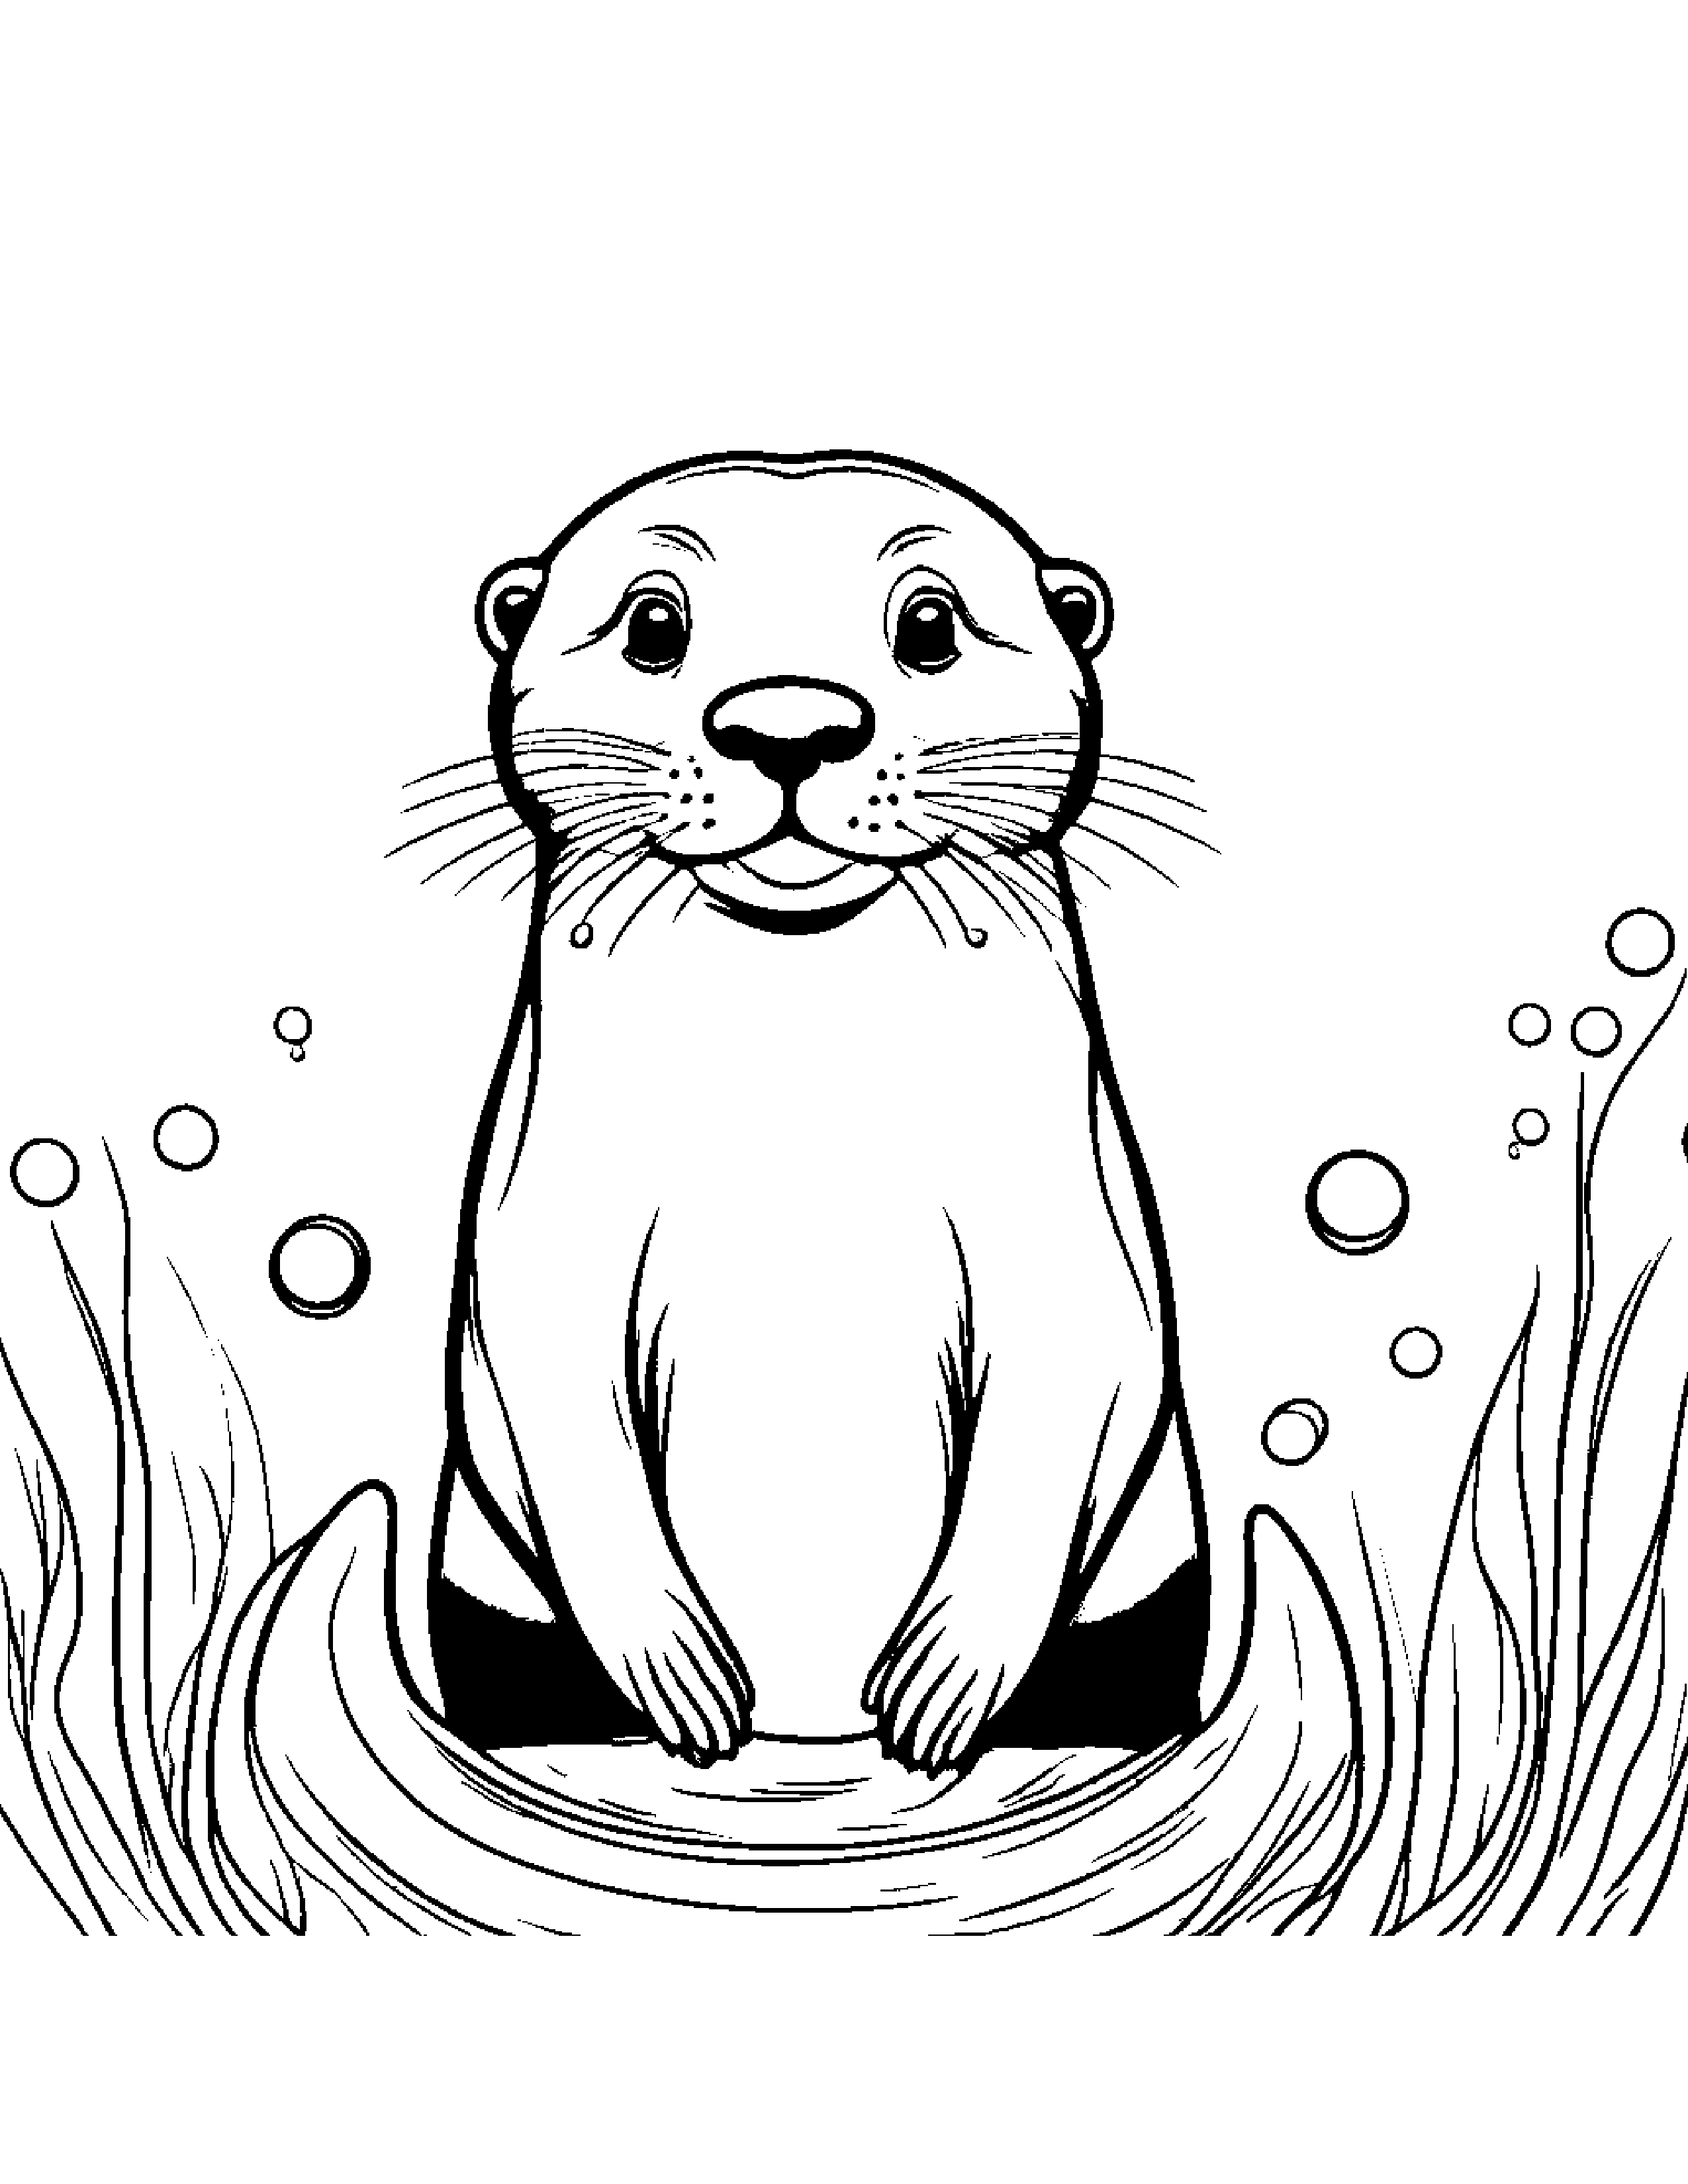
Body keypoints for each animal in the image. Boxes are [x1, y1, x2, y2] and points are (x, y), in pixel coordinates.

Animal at [427, 451, 1208, 1772]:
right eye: (653, 625)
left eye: (929, 624)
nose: (788, 729)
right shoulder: (544, 1195)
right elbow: (545, 1370)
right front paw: (672, 1665)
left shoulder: (1068, 1198)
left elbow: (1075, 1364)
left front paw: (952, 1674)